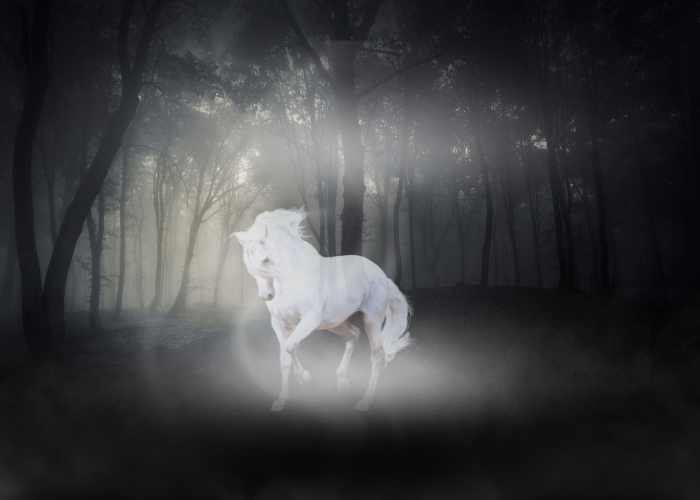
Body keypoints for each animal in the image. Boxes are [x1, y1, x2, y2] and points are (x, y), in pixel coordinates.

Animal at [235, 207, 410, 410]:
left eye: (265, 260)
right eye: (248, 265)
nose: (266, 295)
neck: (291, 278)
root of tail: (382, 275)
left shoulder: (309, 319)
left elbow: (290, 346)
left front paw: (305, 379)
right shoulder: (280, 325)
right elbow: (284, 360)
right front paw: (281, 401)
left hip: (371, 319)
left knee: (377, 356)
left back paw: (365, 401)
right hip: (334, 322)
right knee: (353, 335)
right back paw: (343, 385)